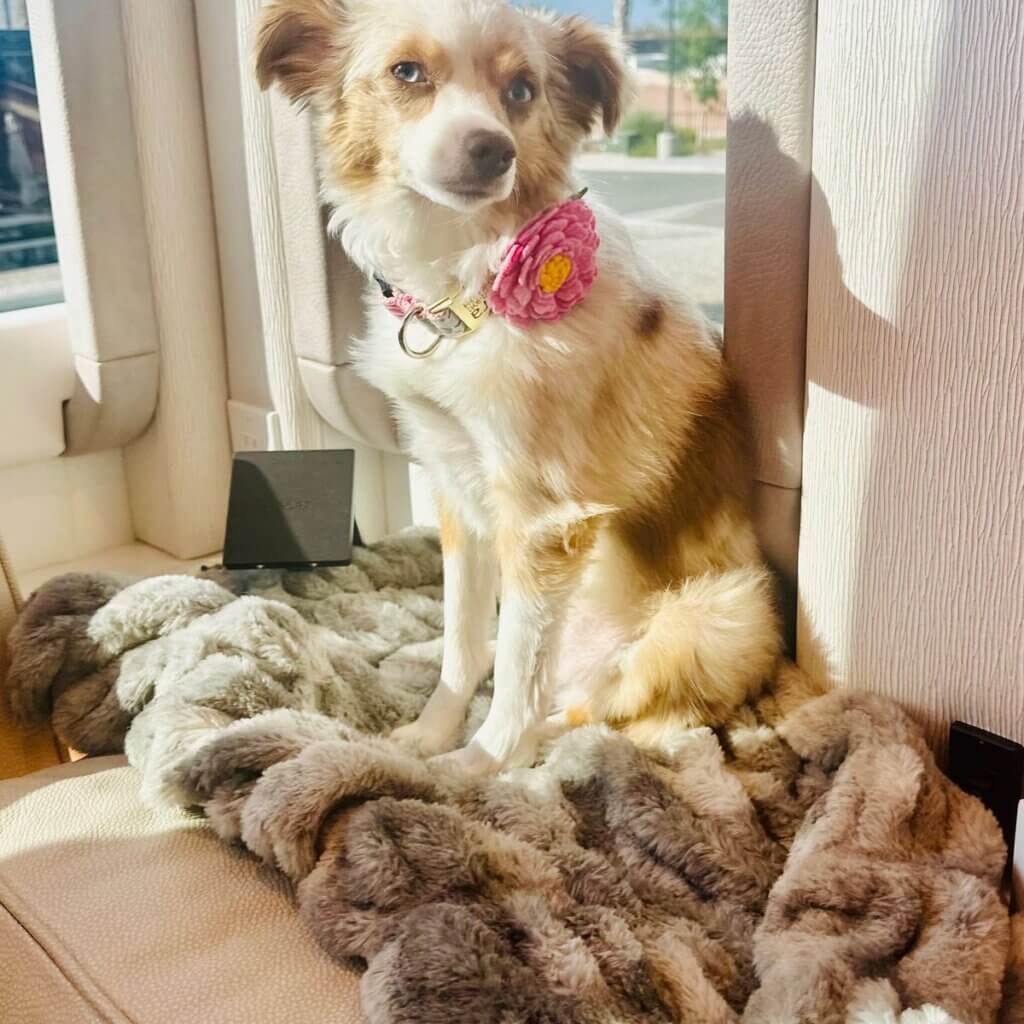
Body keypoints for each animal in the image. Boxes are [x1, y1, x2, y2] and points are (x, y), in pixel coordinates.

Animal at [255, 0, 782, 774]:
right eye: (406, 72)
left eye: (522, 90)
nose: (490, 150)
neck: (465, 292)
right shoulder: (457, 488)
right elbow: (465, 641)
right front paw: (432, 733)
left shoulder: (543, 520)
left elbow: (514, 675)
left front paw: (478, 766)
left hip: (716, 618)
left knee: (621, 712)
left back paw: (544, 740)